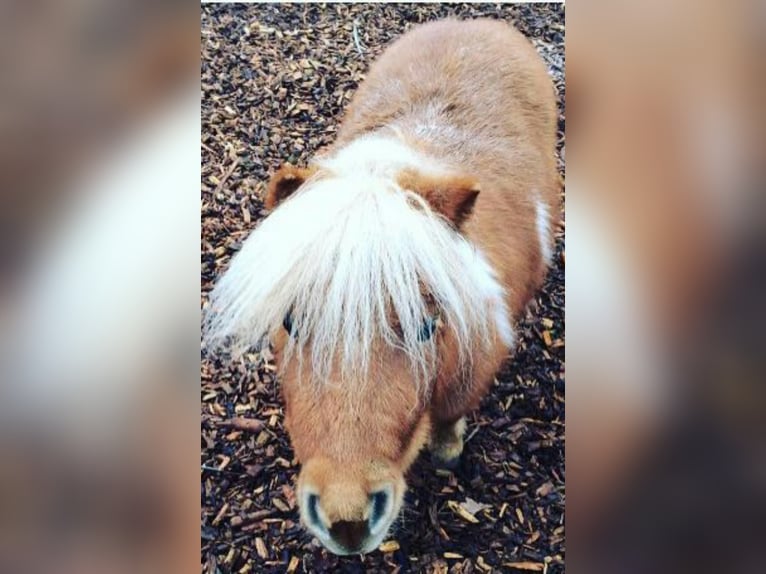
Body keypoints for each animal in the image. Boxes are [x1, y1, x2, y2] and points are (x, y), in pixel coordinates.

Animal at [204, 18, 560, 555]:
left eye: (426, 326)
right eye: (290, 322)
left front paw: (448, 452)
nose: (347, 518)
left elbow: (451, 418)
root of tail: (474, 23)